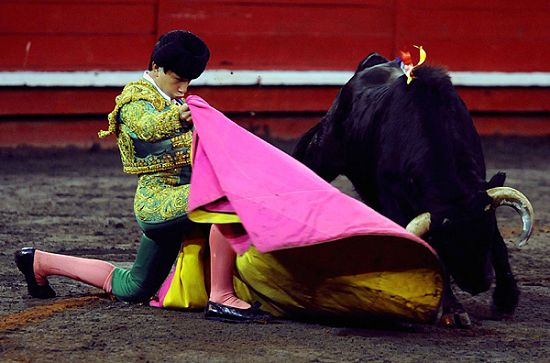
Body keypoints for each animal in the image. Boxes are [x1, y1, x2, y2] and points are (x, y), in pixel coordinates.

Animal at [296, 54, 536, 330]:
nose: (479, 283)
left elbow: (499, 242)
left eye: (484, 236)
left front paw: (506, 300)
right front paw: (452, 310)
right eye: (446, 243)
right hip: (321, 156)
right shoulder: (395, 199)